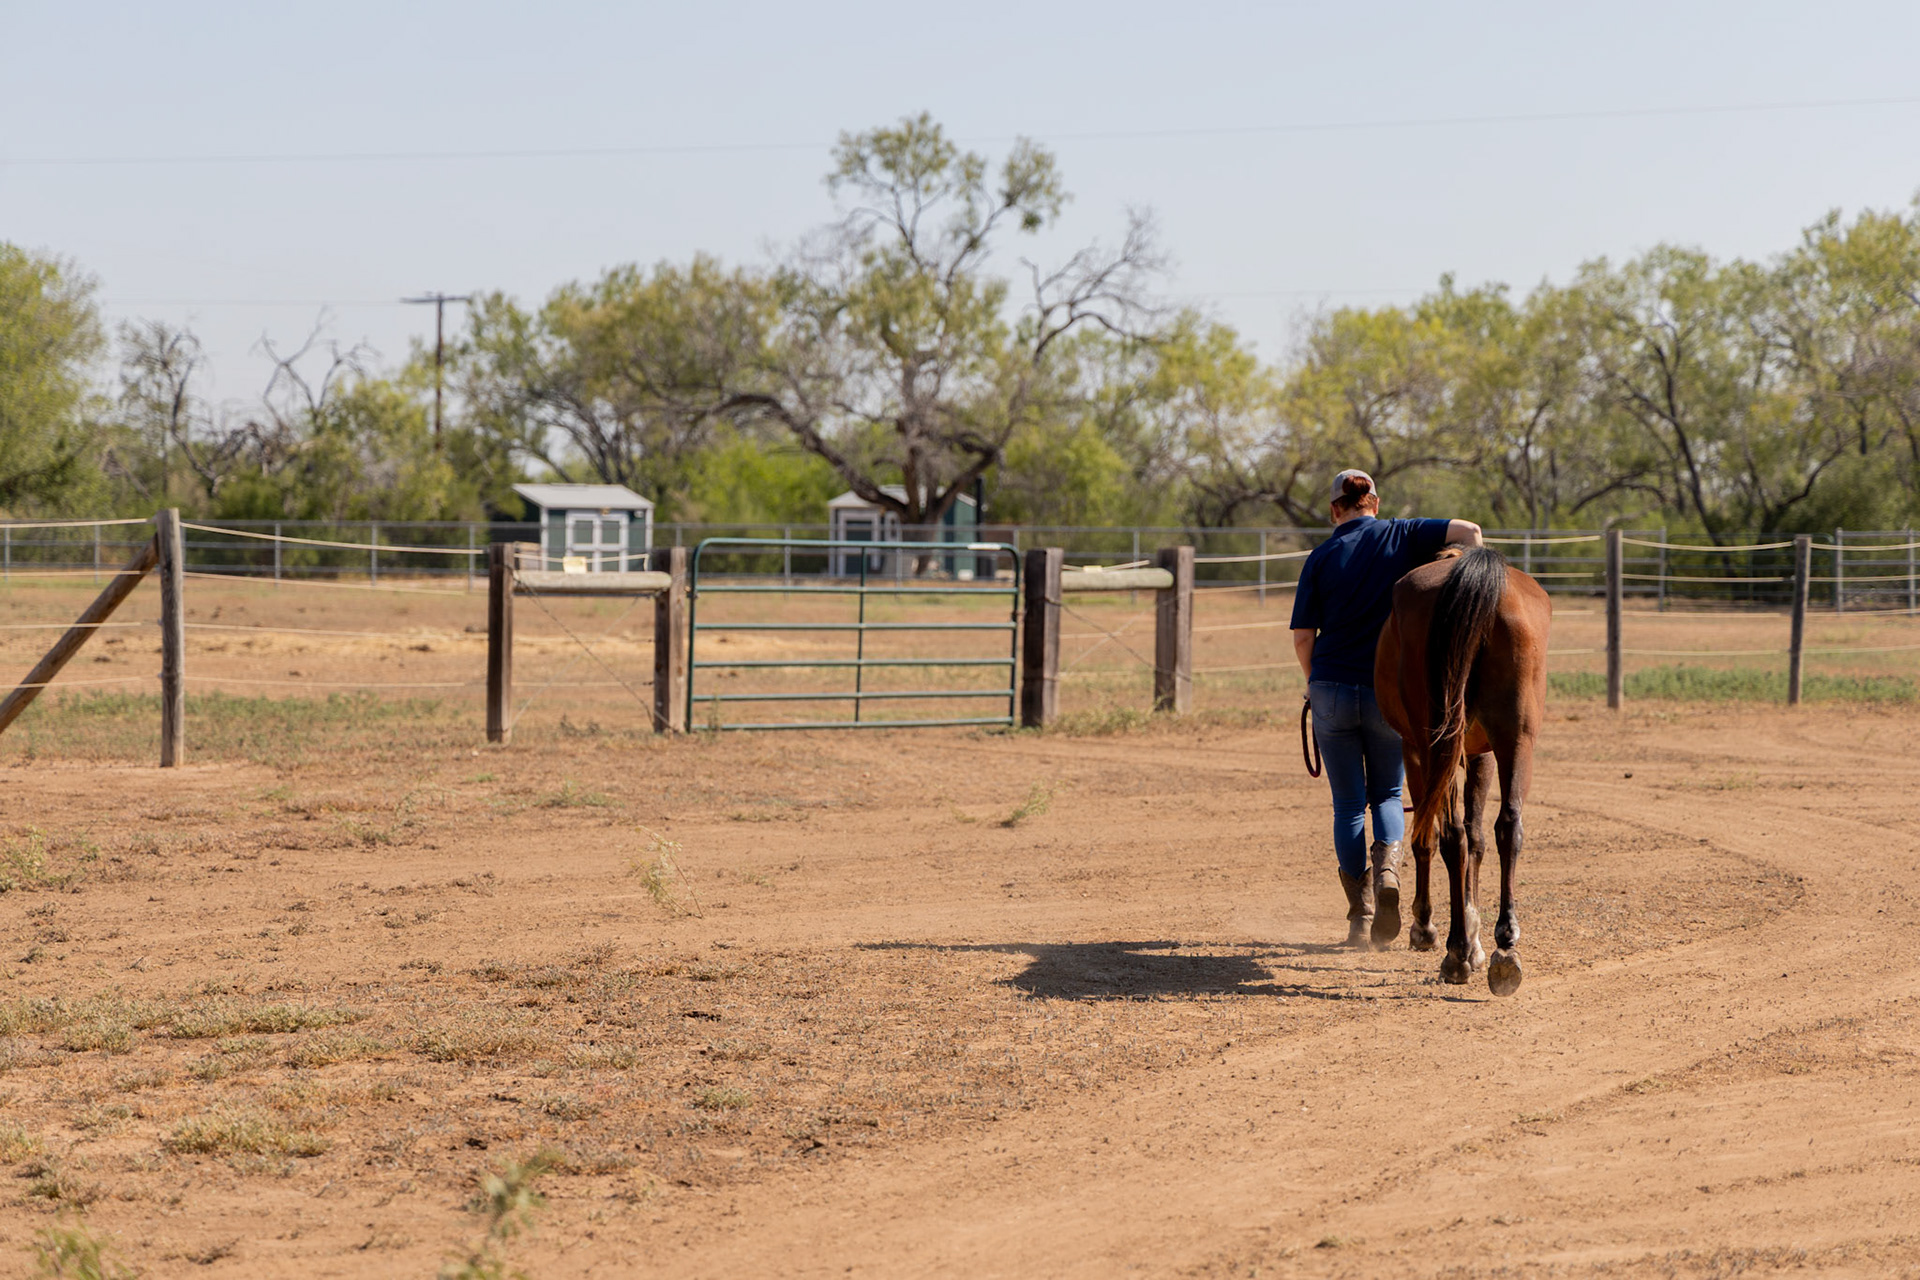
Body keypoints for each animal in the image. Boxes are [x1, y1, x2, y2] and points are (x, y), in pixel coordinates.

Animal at [1373, 545, 1552, 996]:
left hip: (1435, 744)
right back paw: (1505, 946)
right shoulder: (1482, 754)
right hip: (1515, 739)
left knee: (1450, 836)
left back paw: (1454, 953)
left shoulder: (1416, 752)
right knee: (1508, 826)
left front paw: (1432, 929)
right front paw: (1475, 938)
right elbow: (1478, 838)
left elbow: (1428, 838)